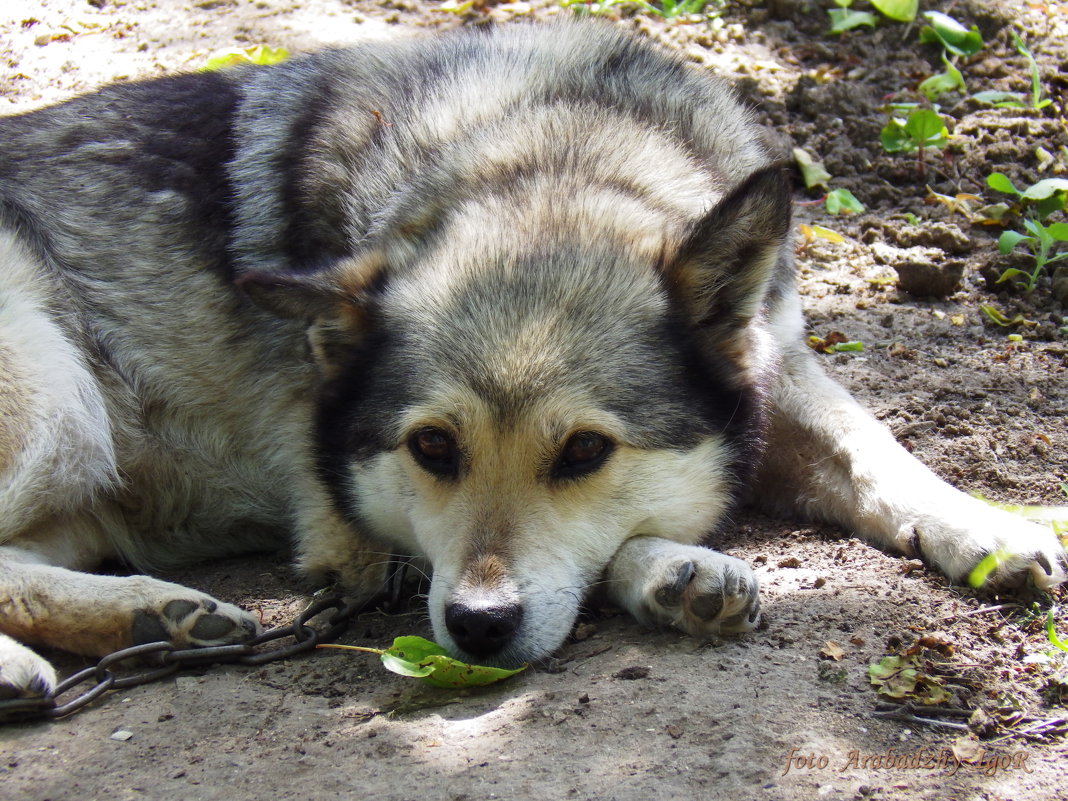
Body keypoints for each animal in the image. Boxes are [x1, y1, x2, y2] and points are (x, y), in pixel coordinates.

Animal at [2, 17, 1068, 696]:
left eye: (584, 452)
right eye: (432, 448)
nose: (478, 626)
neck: (558, 152)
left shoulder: (780, 362)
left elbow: (876, 445)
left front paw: (987, 526)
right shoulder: (354, 536)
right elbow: (601, 553)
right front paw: (674, 569)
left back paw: (153, 619)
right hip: (58, 402)